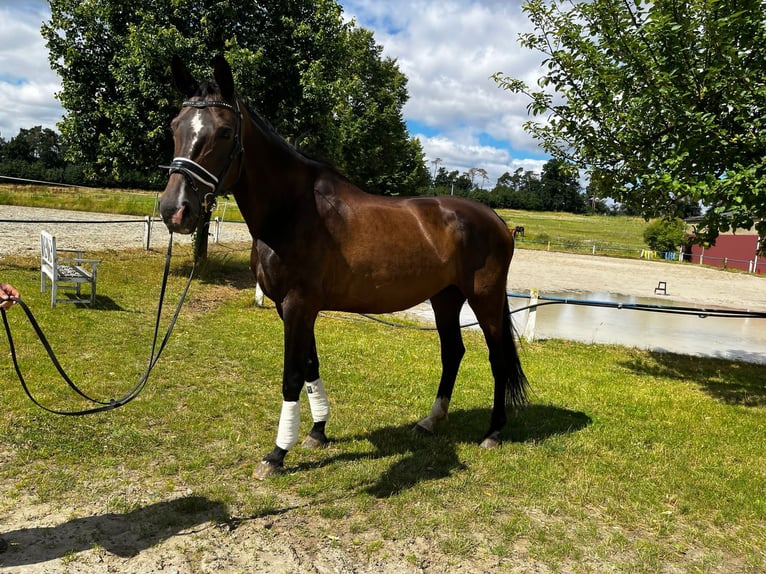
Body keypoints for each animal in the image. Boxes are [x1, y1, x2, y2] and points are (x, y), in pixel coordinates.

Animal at [159, 56, 528, 479]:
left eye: (222, 132)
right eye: (175, 126)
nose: (174, 210)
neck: (293, 210)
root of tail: (498, 221)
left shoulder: (298, 305)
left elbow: (292, 376)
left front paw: (276, 455)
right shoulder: (294, 308)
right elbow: (310, 365)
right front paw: (317, 432)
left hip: (485, 298)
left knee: (497, 357)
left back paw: (494, 432)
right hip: (445, 299)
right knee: (452, 352)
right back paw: (430, 421)